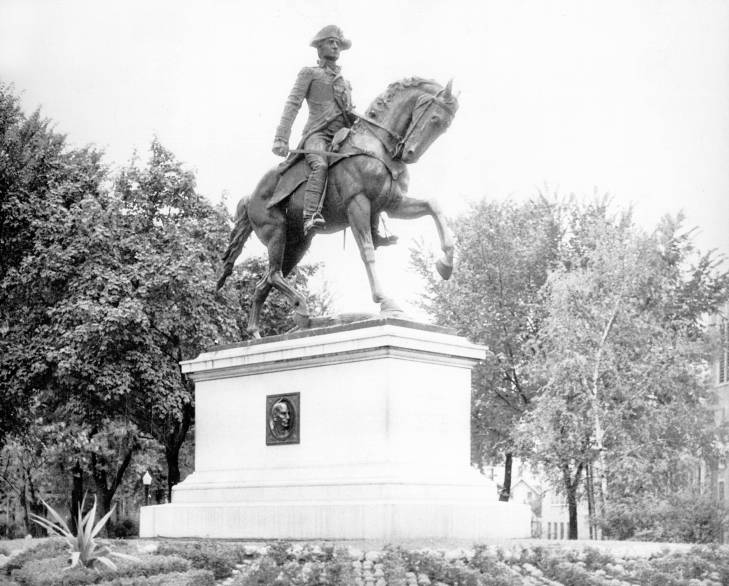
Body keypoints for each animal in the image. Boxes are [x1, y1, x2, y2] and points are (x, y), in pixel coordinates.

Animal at [213, 76, 458, 338]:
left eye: (444, 127)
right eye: (435, 118)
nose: (409, 154)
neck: (376, 145)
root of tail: (251, 197)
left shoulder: (394, 204)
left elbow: (434, 207)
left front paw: (445, 264)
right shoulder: (357, 204)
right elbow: (367, 251)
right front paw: (385, 301)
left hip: (297, 243)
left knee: (264, 282)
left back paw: (257, 333)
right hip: (276, 232)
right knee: (274, 275)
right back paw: (302, 309)